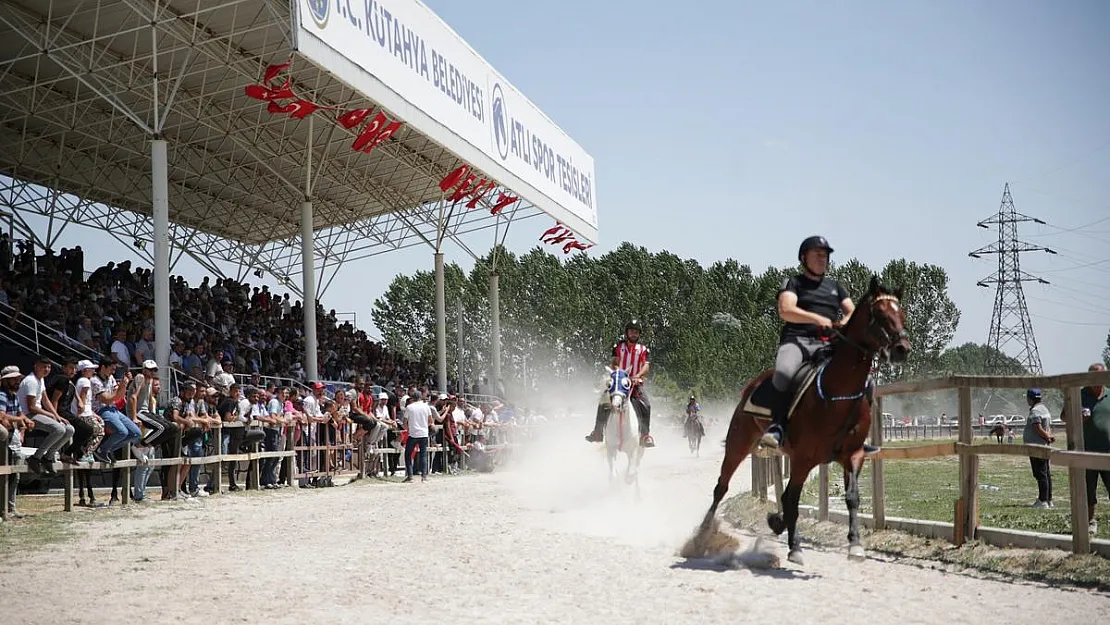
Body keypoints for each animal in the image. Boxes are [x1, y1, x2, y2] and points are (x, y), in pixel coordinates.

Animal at [603, 366, 648, 495]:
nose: (616, 405)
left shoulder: (633, 450)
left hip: (641, 448)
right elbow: (613, 474)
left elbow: (630, 473)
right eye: (609, 384)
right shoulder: (610, 448)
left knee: (636, 464)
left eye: (626, 384)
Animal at [701, 276, 910, 563]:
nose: (902, 349)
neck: (839, 392)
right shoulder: (803, 457)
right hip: (739, 442)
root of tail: (752, 385)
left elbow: (852, 497)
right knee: (722, 486)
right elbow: (793, 500)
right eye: (879, 314)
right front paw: (795, 547)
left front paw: (855, 545)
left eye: (902, 313)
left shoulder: (853, 455)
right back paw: (703, 536)